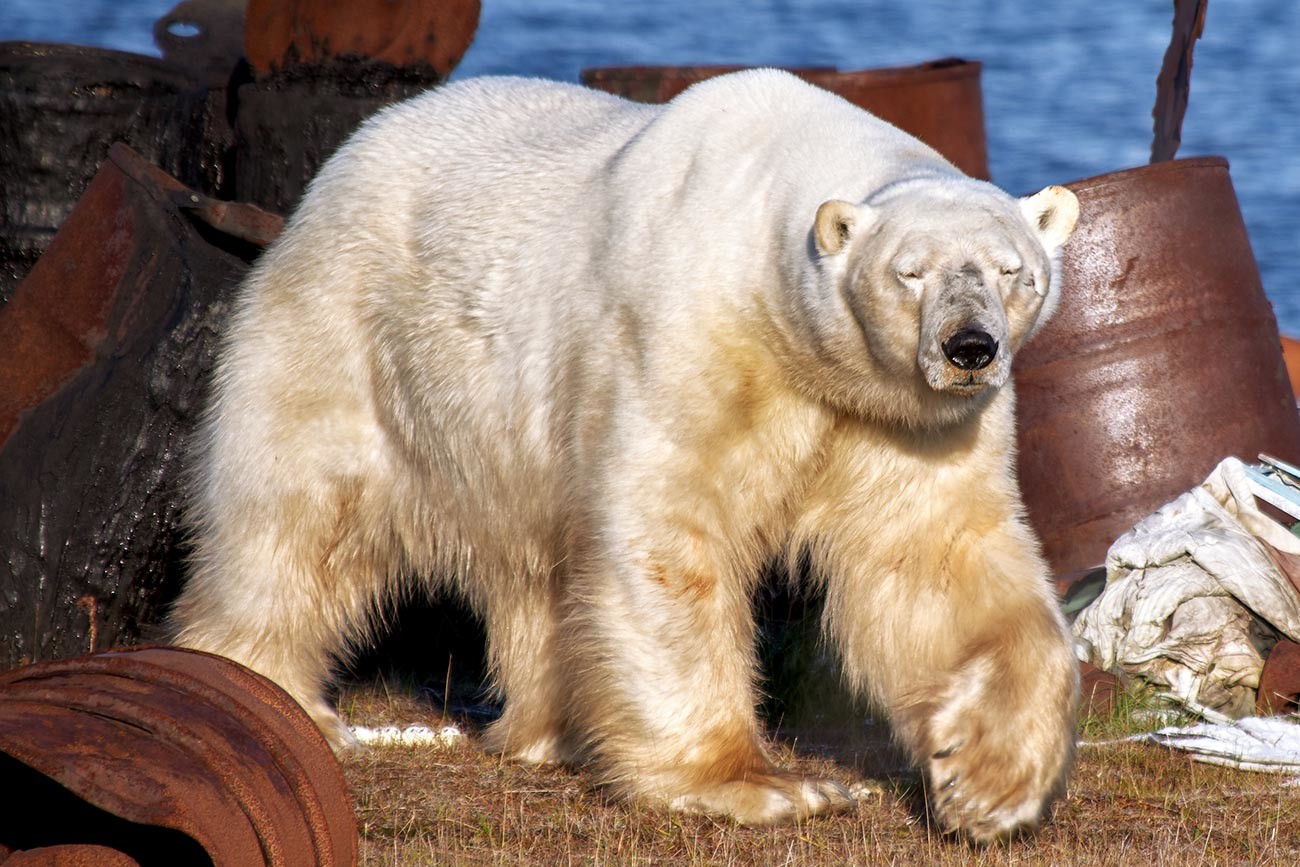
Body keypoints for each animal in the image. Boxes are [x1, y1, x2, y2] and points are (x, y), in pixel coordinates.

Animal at [172, 69, 1086, 842]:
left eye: (1014, 270)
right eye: (910, 272)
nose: (970, 347)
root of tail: (335, 168)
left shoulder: (899, 417)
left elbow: (934, 557)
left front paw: (987, 784)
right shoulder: (695, 333)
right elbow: (670, 530)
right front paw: (761, 783)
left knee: (534, 572)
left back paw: (557, 731)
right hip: (349, 331)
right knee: (294, 516)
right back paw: (276, 694)